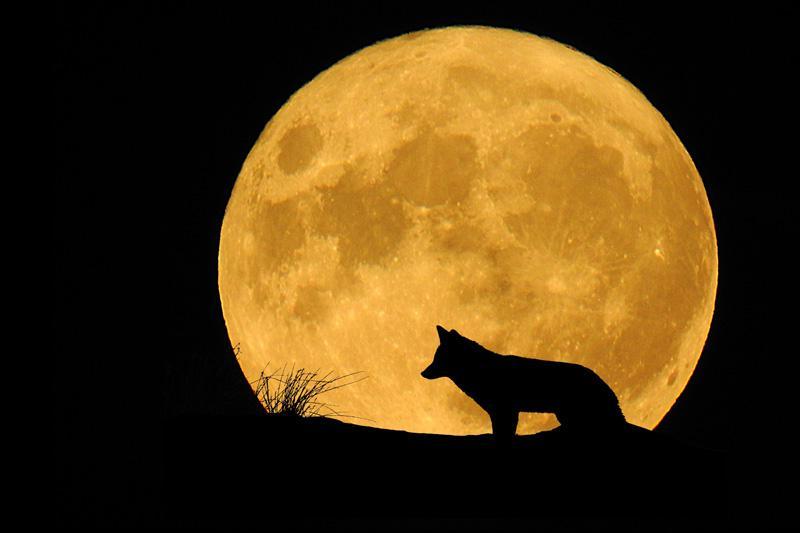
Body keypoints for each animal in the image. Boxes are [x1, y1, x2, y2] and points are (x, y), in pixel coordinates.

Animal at [421, 325, 626, 443]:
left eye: (438, 358)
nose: (422, 373)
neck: (481, 370)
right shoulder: (503, 412)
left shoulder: (505, 410)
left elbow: (503, 434)